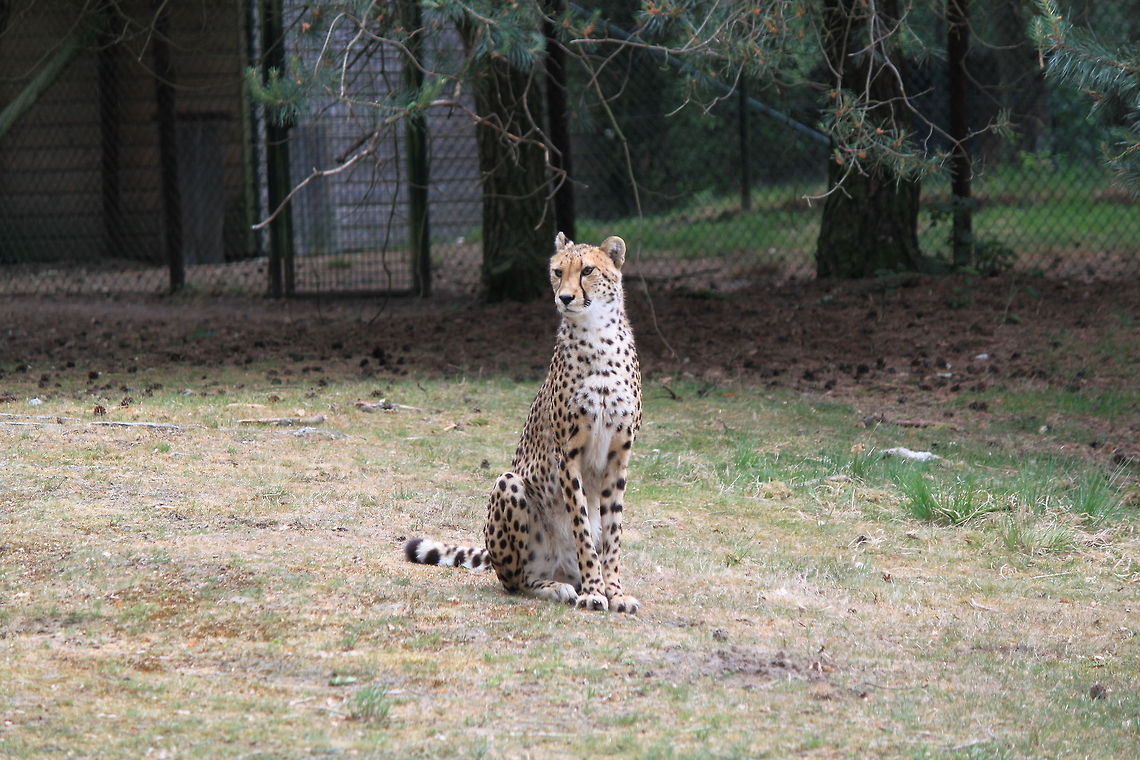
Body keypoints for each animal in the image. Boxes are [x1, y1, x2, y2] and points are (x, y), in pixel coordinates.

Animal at [404, 232, 642, 613]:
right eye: (558, 271)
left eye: (588, 270)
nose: (565, 297)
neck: (597, 335)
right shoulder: (567, 454)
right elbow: (581, 527)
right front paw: (594, 591)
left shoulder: (619, 455)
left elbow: (612, 533)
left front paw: (614, 591)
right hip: (509, 483)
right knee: (516, 581)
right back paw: (557, 587)